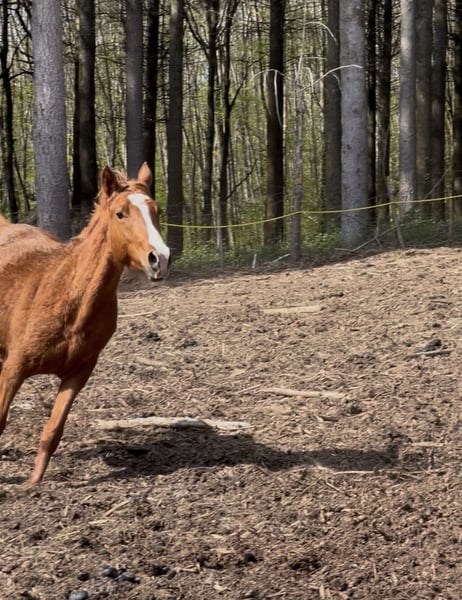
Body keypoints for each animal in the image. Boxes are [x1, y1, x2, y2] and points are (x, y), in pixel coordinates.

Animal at [0, 162, 170, 485]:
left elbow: (53, 431)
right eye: (120, 213)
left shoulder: (77, 375)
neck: (69, 297)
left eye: (156, 210)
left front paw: (33, 484)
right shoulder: (14, 370)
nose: (160, 259)